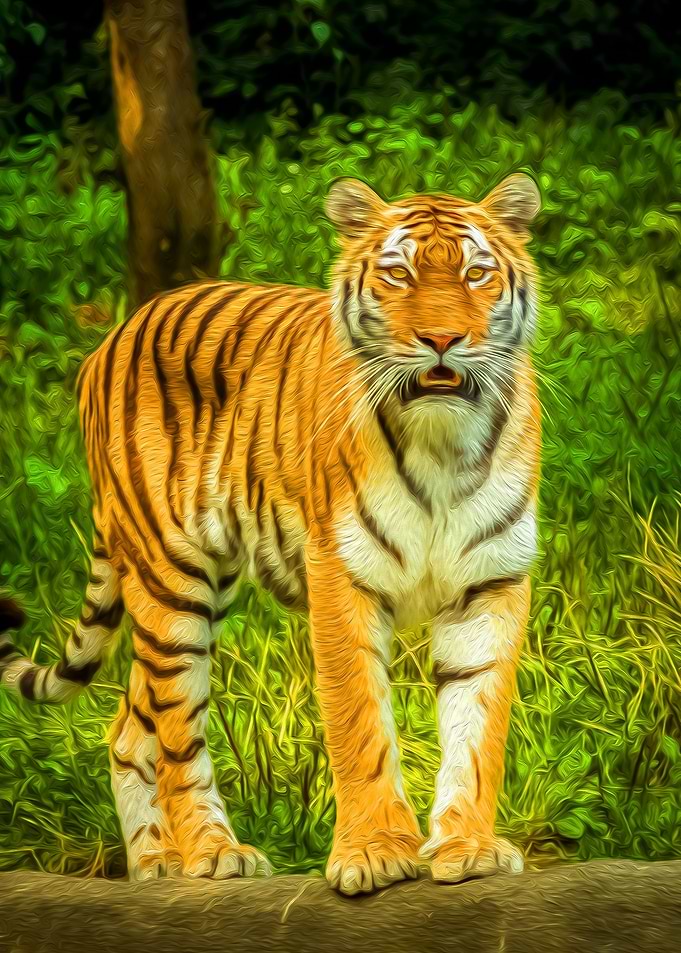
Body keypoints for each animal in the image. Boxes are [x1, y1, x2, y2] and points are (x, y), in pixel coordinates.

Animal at [0, 173, 541, 895]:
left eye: (476, 273)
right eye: (397, 274)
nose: (441, 338)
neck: (443, 442)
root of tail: (112, 337)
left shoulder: (490, 582)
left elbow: (478, 728)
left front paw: (470, 847)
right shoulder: (341, 577)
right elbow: (359, 724)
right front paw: (374, 853)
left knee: (128, 729)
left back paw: (154, 866)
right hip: (171, 584)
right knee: (175, 736)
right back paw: (211, 854)